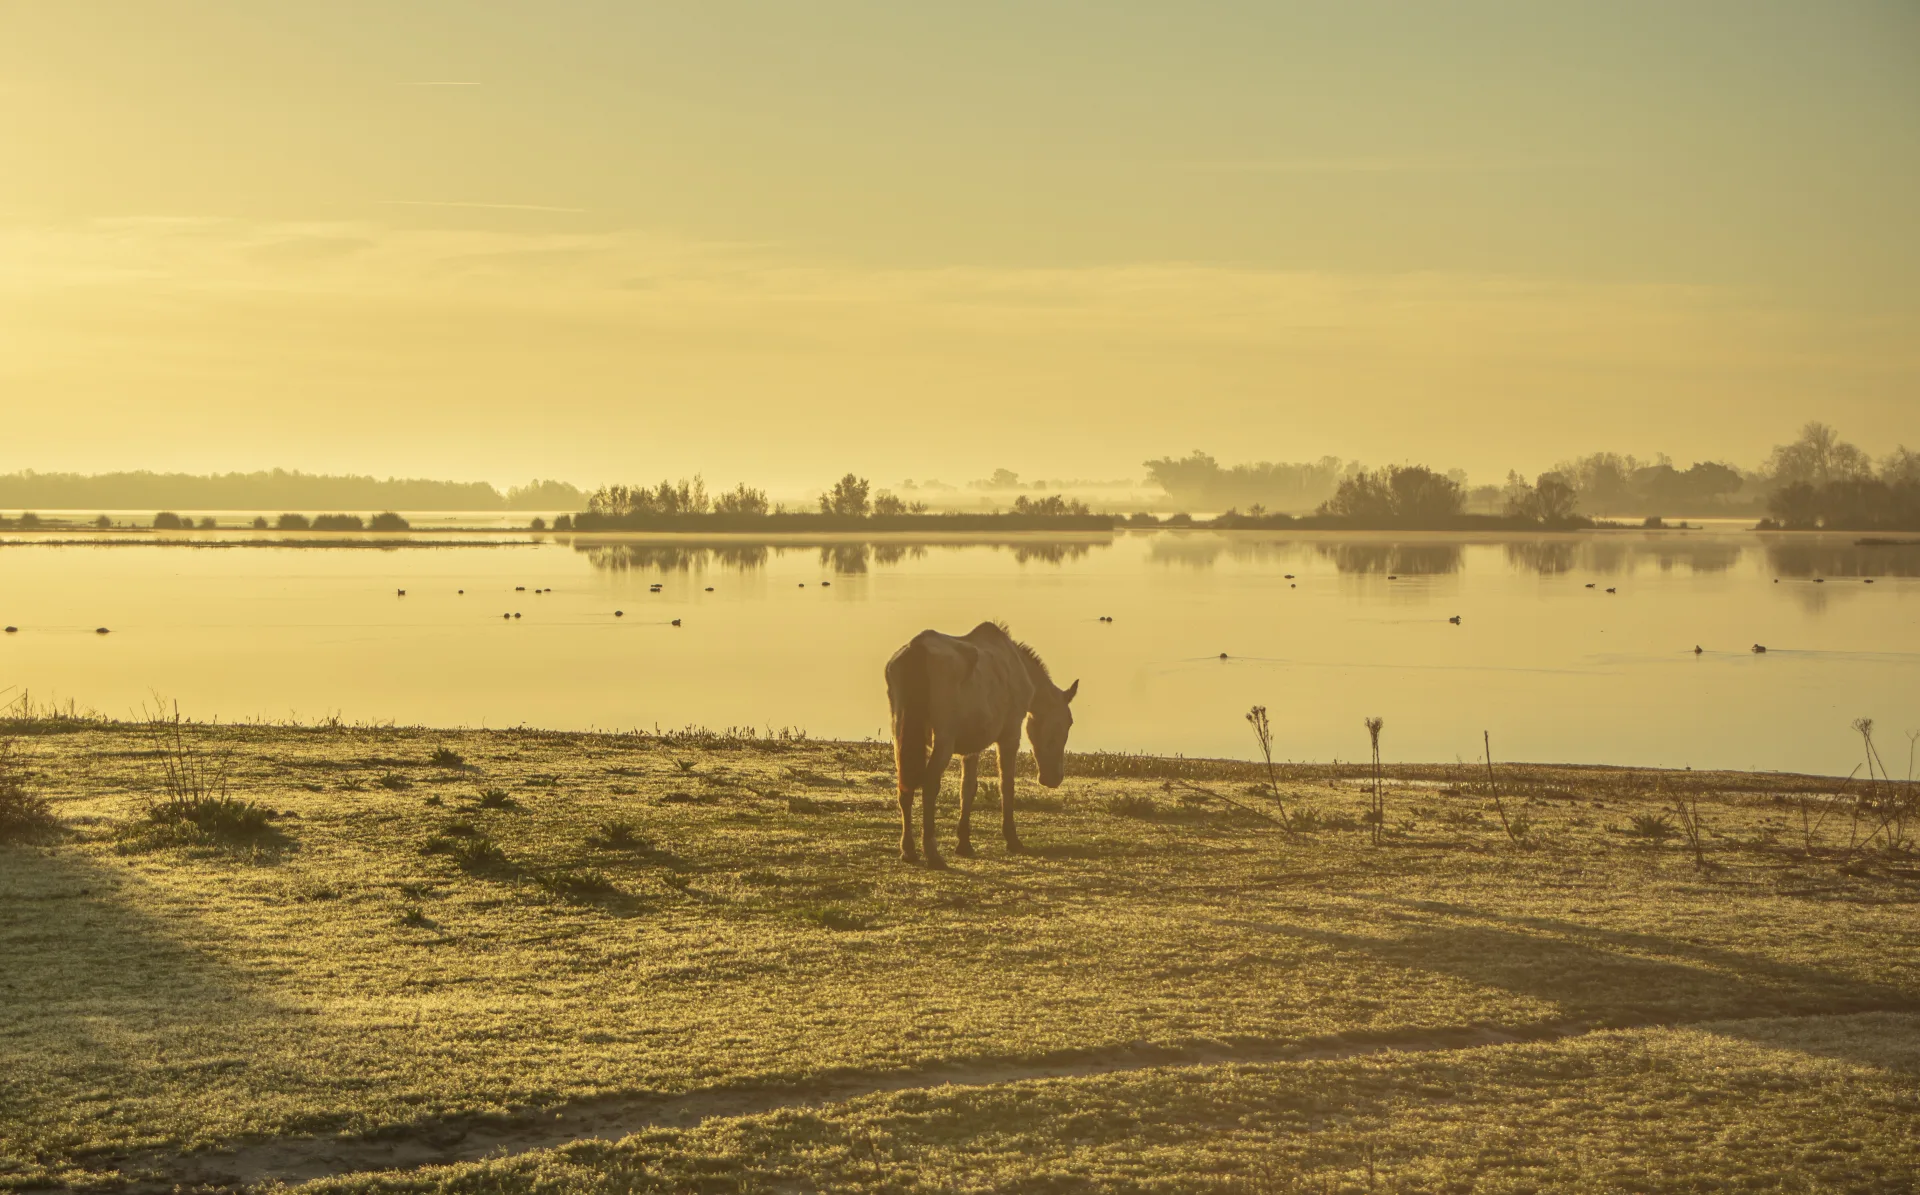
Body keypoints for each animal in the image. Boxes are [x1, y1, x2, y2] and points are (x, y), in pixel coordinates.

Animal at [885, 622, 1077, 866]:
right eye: (1068, 722)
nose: (1054, 778)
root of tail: (917, 648)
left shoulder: (971, 747)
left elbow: (967, 789)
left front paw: (964, 843)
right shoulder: (1010, 735)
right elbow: (1007, 785)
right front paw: (1012, 839)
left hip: (901, 737)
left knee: (905, 787)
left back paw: (908, 850)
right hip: (943, 741)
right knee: (929, 786)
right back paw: (932, 852)